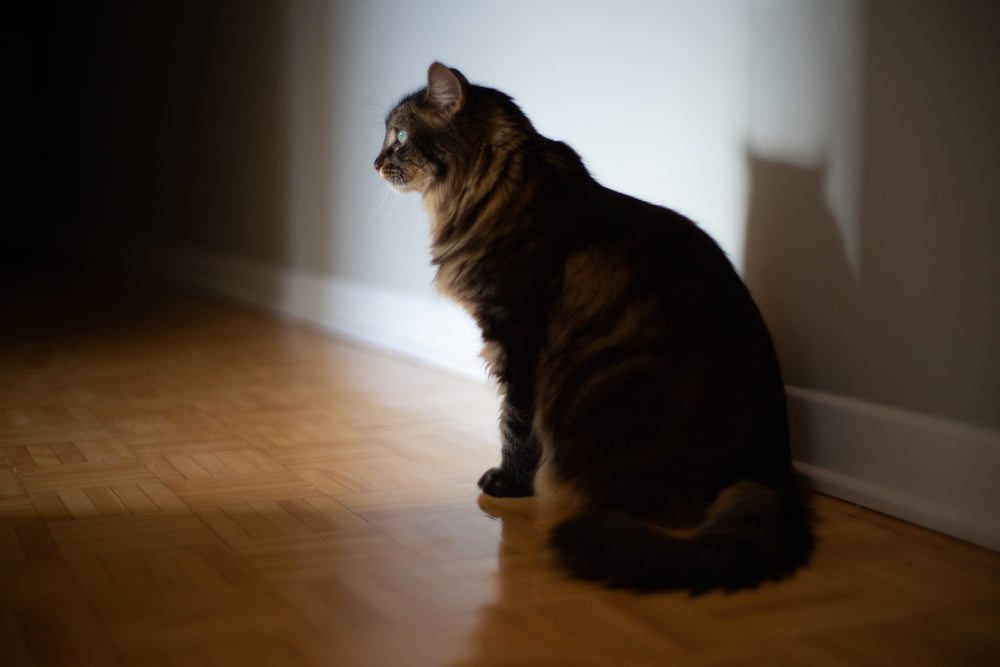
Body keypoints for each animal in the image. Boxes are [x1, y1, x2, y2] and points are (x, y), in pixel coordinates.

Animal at [376, 64, 812, 596]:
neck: (494, 194)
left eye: (399, 136)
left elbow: (516, 422)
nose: (374, 162)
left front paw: (510, 485)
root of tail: (772, 469)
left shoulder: (518, 337)